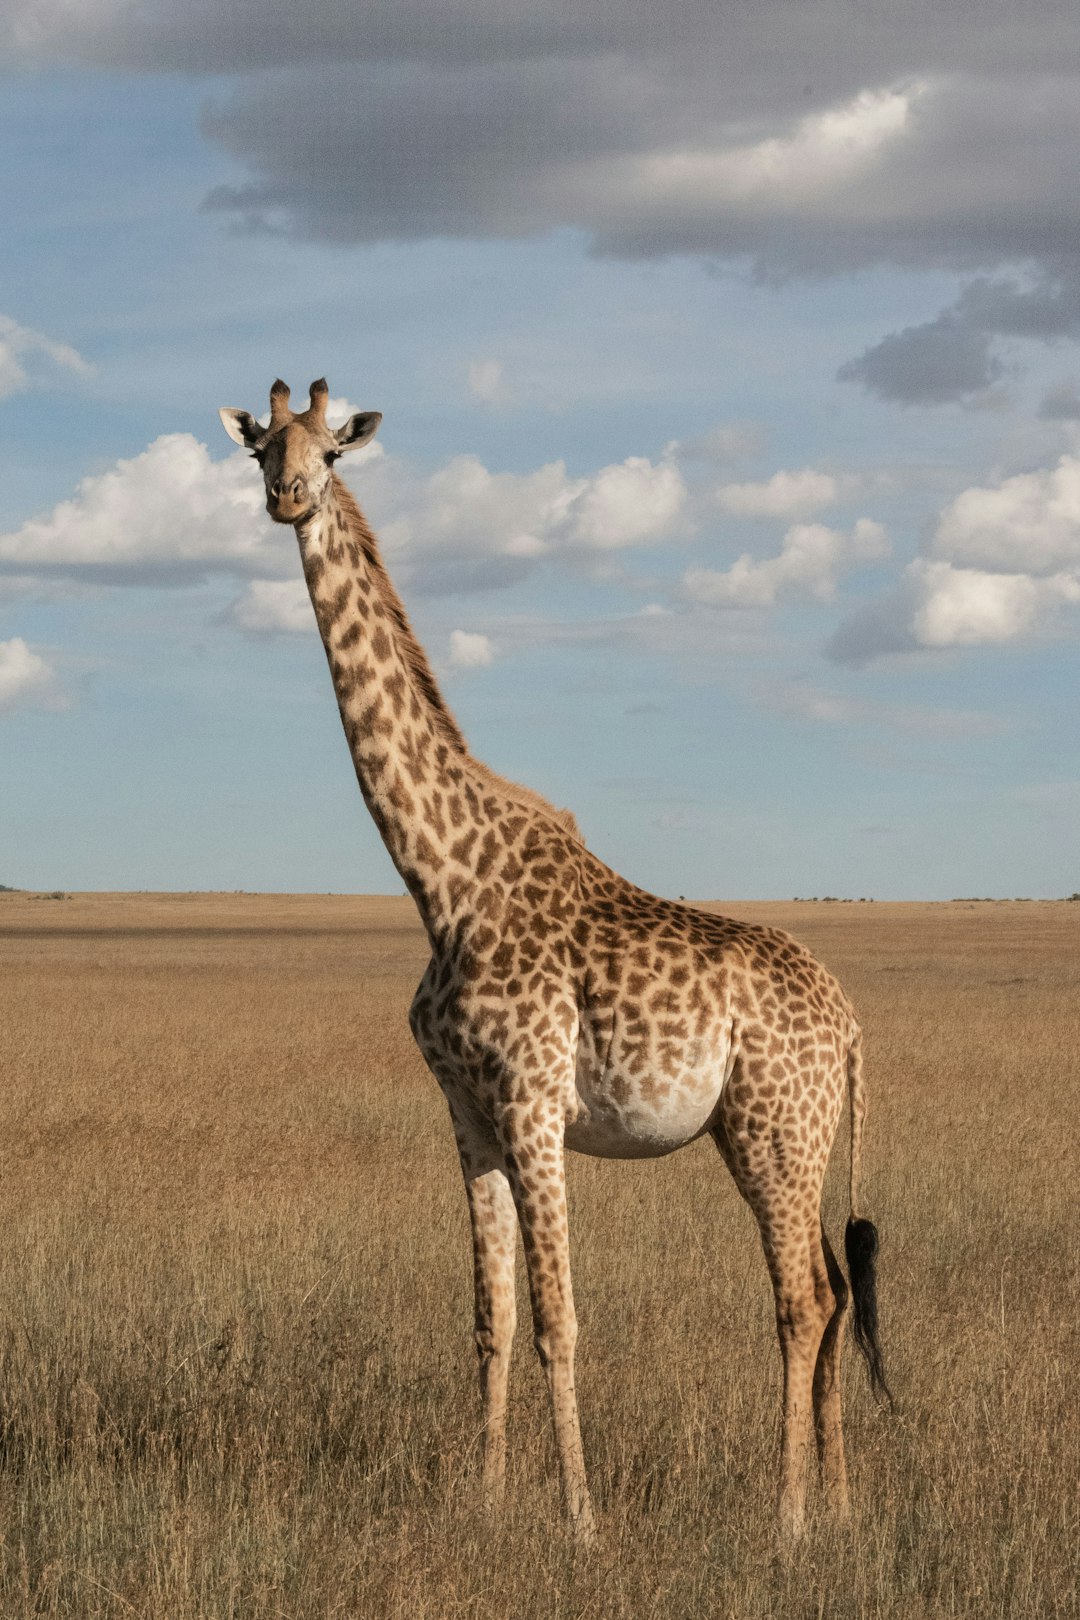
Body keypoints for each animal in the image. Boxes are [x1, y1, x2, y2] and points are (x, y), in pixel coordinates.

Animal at [223, 379, 893, 1542]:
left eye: (332, 450)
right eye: (262, 446)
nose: (288, 497)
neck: (441, 881)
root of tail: (849, 1026)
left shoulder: (535, 1102)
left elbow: (558, 1320)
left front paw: (580, 1521)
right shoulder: (467, 1109)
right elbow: (490, 1317)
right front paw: (486, 1503)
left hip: (777, 1129)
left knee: (804, 1299)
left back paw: (786, 1520)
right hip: (771, 1136)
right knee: (835, 1289)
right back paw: (842, 1506)